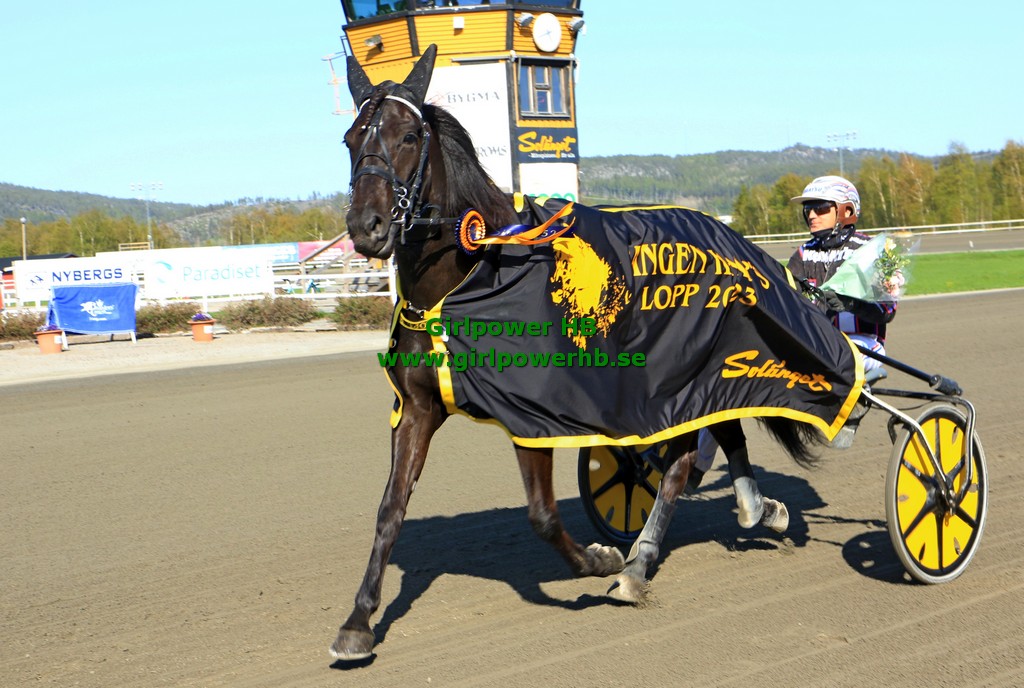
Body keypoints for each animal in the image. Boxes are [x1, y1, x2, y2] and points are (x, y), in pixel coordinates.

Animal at [331, 45, 830, 661]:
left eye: (406, 136)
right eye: (351, 139)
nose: (366, 226)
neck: (469, 277)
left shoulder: (533, 413)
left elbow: (543, 515)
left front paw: (602, 558)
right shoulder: (419, 407)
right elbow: (390, 509)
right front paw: (358, 621)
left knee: (681, 459)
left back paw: (638, 565)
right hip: (689, 376)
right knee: (722, 428)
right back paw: (760, 509)